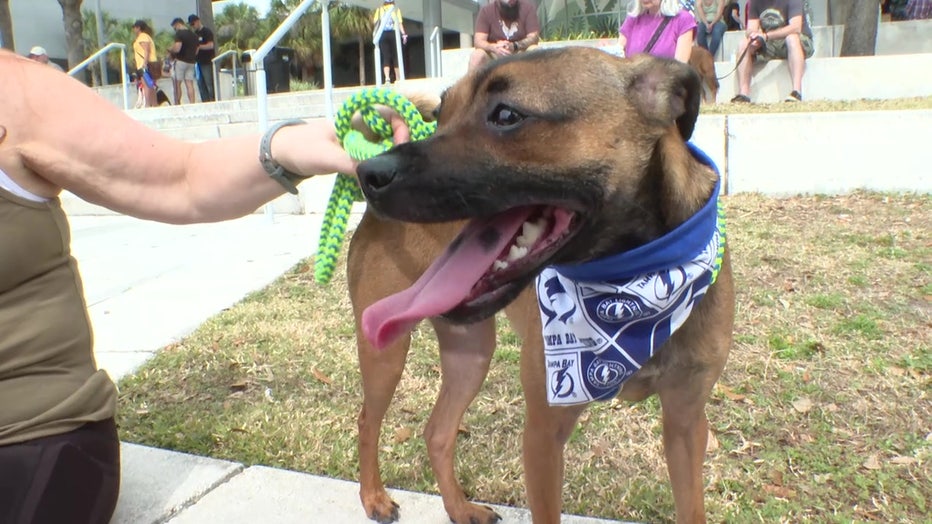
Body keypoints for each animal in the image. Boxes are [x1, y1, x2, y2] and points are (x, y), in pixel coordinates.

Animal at [346, 46, 732, 524]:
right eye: (439, 114)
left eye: (506, 115)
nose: (369, 173)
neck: (636, 282)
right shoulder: (544, 433)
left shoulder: (686, 423)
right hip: (386, 352)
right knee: (368, 420)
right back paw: (373, 497)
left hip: (470, 355)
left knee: (438, 431)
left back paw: (459, 508)